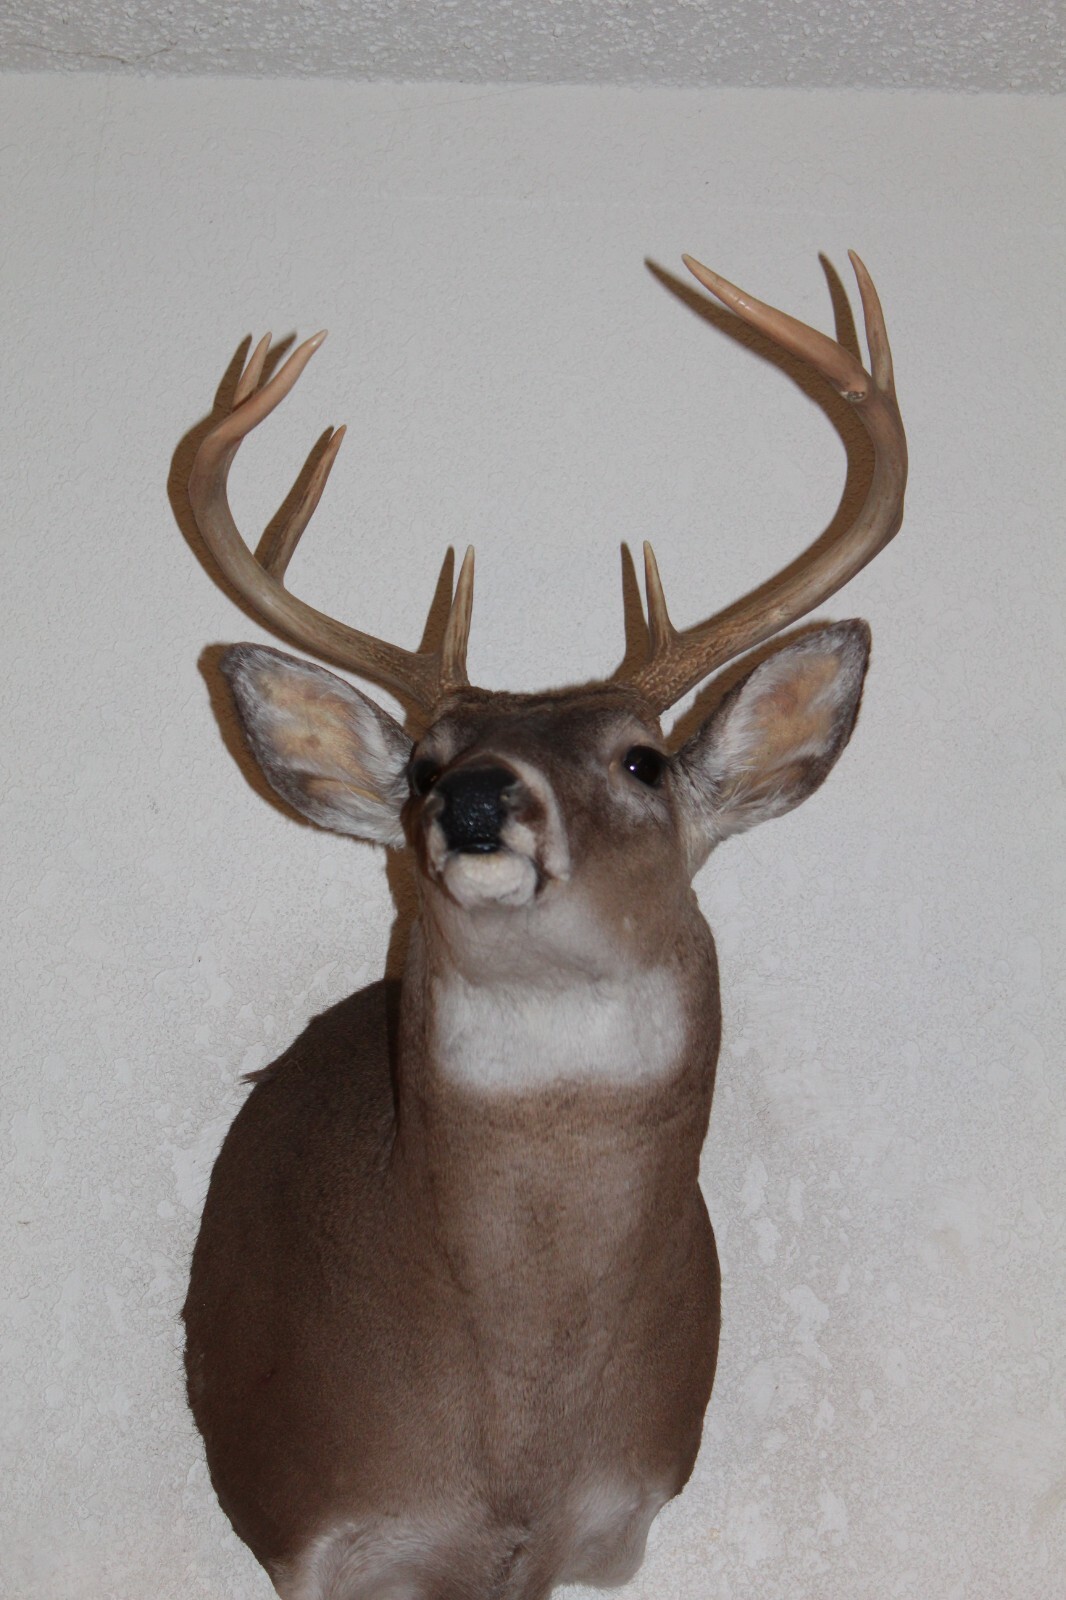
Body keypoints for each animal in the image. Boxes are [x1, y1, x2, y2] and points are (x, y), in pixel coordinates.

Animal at [182, 250, 906, 1600]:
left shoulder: (606, 1526)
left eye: (642, 760)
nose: (474, 799)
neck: (515, 1430)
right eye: (420, 766)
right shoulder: (316, 1527)